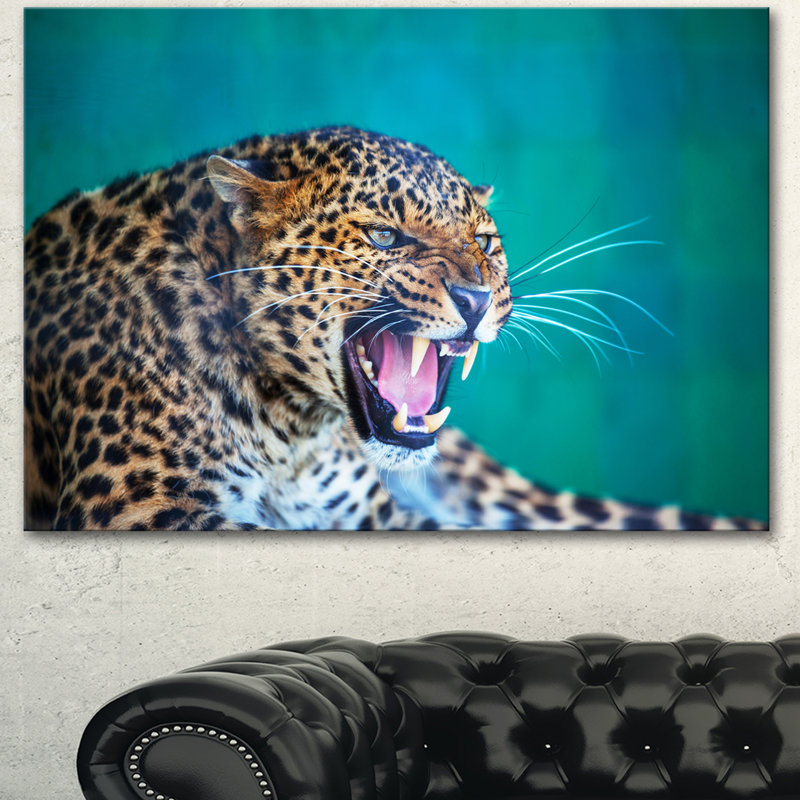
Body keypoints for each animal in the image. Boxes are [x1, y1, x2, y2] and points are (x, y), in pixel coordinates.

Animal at [23, 126, 766, 530]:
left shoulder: (377, 516)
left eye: (484, 243)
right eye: (384, 237)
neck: (291, 435)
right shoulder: (141, 509)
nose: (476, 297)